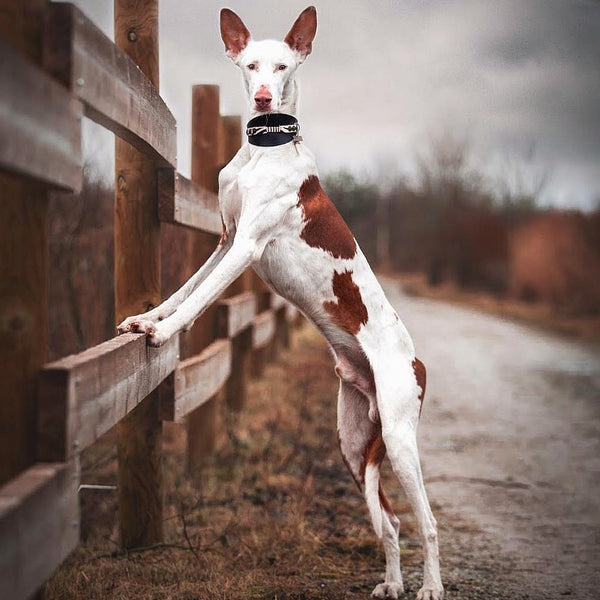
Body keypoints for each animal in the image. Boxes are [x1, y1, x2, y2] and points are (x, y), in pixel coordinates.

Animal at [118, 7, 446, 596]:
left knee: (426, 521)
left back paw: (431, 585)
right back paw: (392, 582)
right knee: (388, 521)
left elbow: (199, 303)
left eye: (283, 65)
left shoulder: (246, 247)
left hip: (400, 436)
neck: (262, 151)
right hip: (354, 443)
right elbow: (184, 288)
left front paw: (164, 331)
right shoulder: (224, 241)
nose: (265, 97)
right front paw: (146, 319)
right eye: (251, 65)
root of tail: (416, 360)